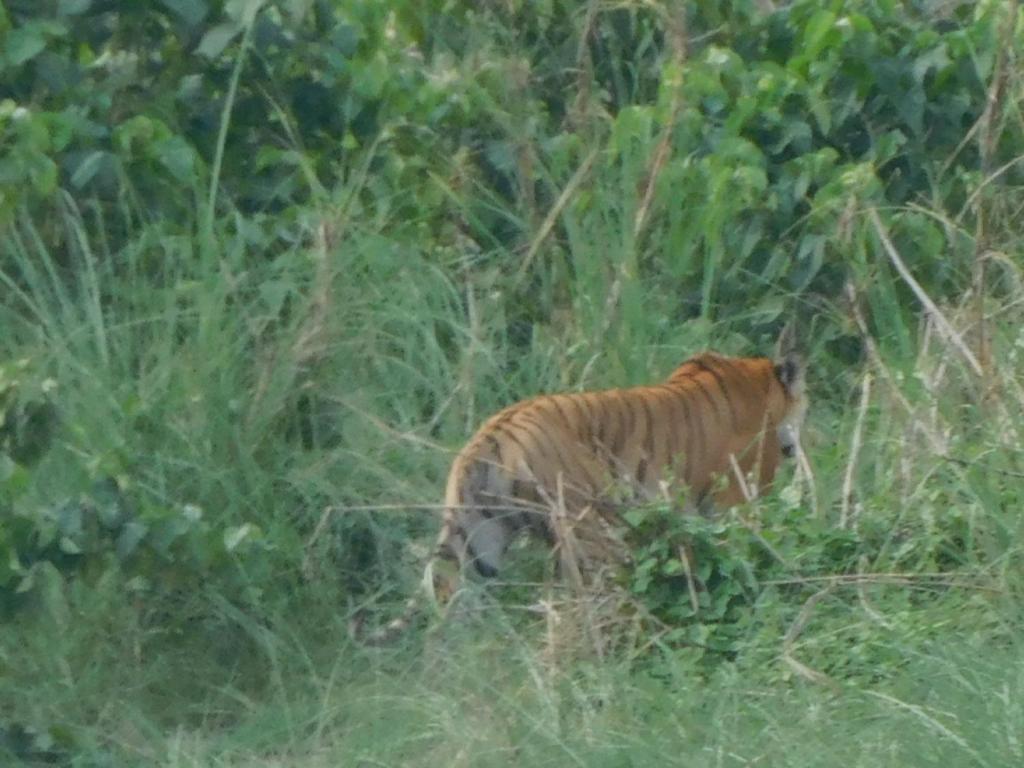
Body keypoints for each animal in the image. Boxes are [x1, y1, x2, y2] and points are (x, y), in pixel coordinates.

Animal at [352, 342, 806, 643]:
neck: (759, 381)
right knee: (590, 603)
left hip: (478, 542)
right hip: (595, 532)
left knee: (450, 610)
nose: (799, 444)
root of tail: (489, 436)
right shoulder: (739, 498)